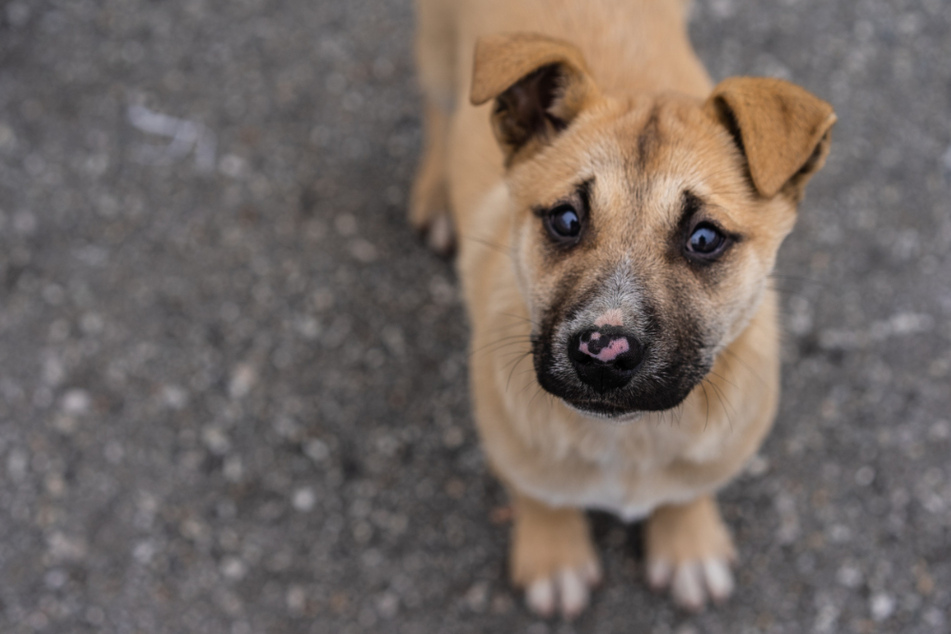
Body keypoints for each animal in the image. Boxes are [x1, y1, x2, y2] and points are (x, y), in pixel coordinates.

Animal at [410, 0, 832, 616]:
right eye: (566, 220)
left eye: (705, 239)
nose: (603, 352)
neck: (630, 440)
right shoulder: (506, 432)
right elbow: (541, 492)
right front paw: (554, 554)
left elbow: (690, 487)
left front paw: (687, 541)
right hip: (441, 52)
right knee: (439, 111)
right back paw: (436, 196)